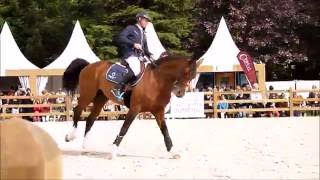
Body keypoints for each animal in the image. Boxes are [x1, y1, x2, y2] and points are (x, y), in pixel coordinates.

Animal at [63, 55, 200, 158]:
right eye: (186, 72)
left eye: (193, 76)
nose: (180, 93)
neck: (157, 80)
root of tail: (89, 65)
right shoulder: (135, 109)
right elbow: (125, 128)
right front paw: (113, 150)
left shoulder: (158, 111)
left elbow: (165, 131)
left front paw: (172, 151)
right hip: (88, 94)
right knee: (77, 110)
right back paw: (70, 136)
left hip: (101, 98)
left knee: (90, 119)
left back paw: (86, 146)